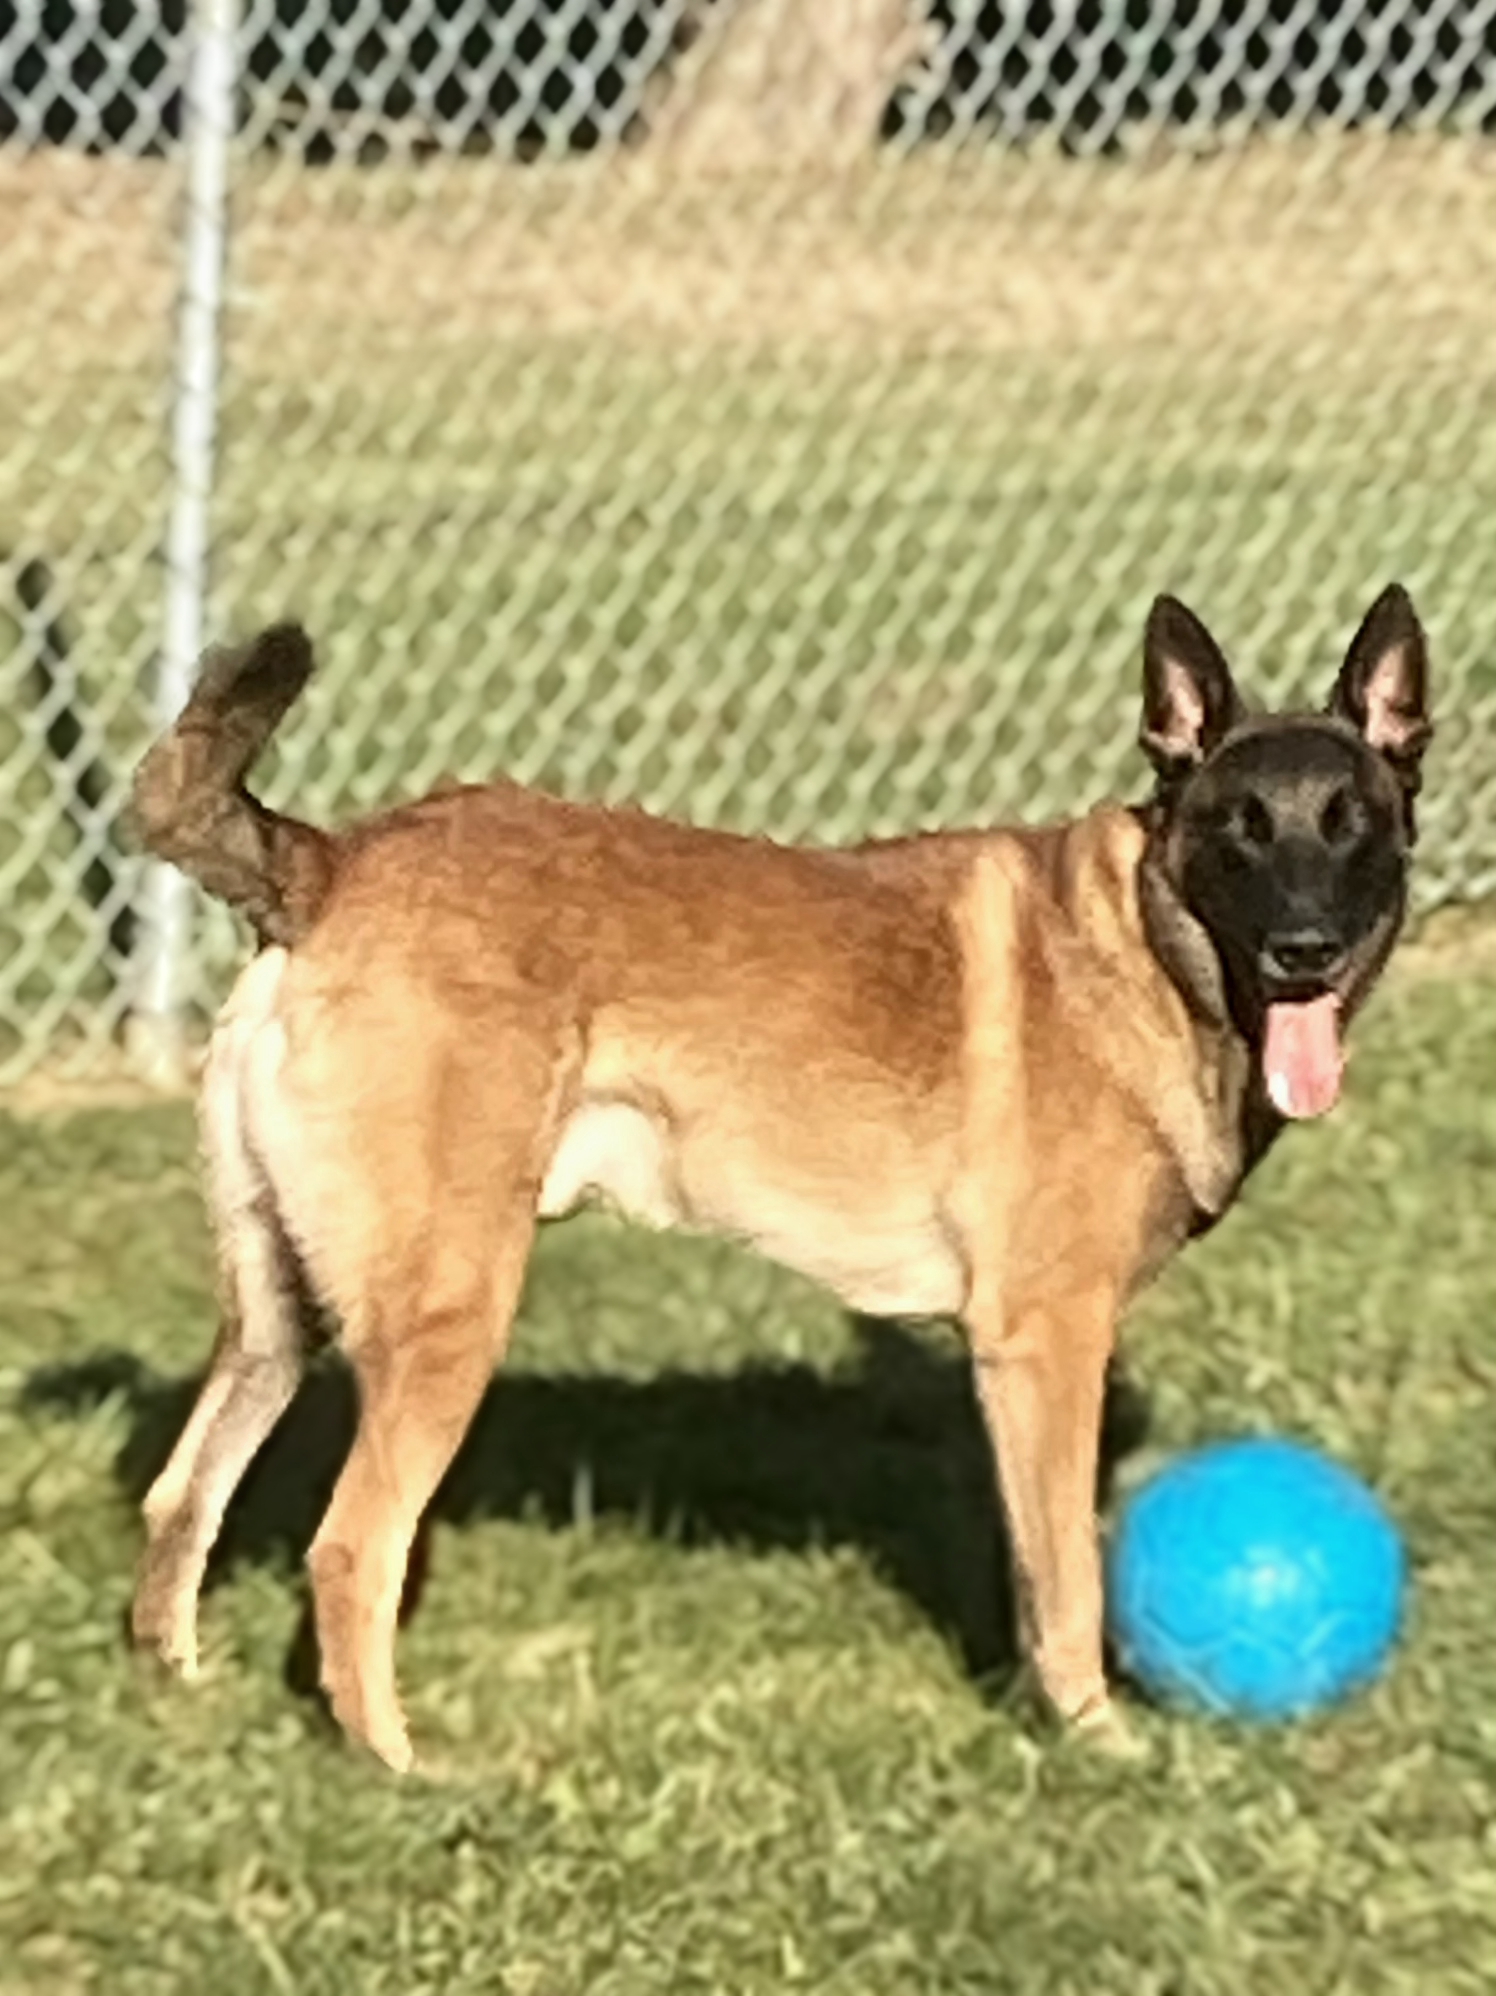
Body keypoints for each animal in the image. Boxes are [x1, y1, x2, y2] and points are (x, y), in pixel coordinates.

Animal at [133, 582, 1430, 1772]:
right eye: (1240, 827)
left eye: (1348, 821)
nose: (1303, 951)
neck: (1146, 952)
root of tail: (332, 866)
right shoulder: (1045, 1345)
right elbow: (1066, 1574)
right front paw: (1093, 1739)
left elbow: (1030, 1562)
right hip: (448, 1317)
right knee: (351, 1547)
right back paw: (400, 1769)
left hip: (276, 1315)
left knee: (181, 1496)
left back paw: (181, 1695)